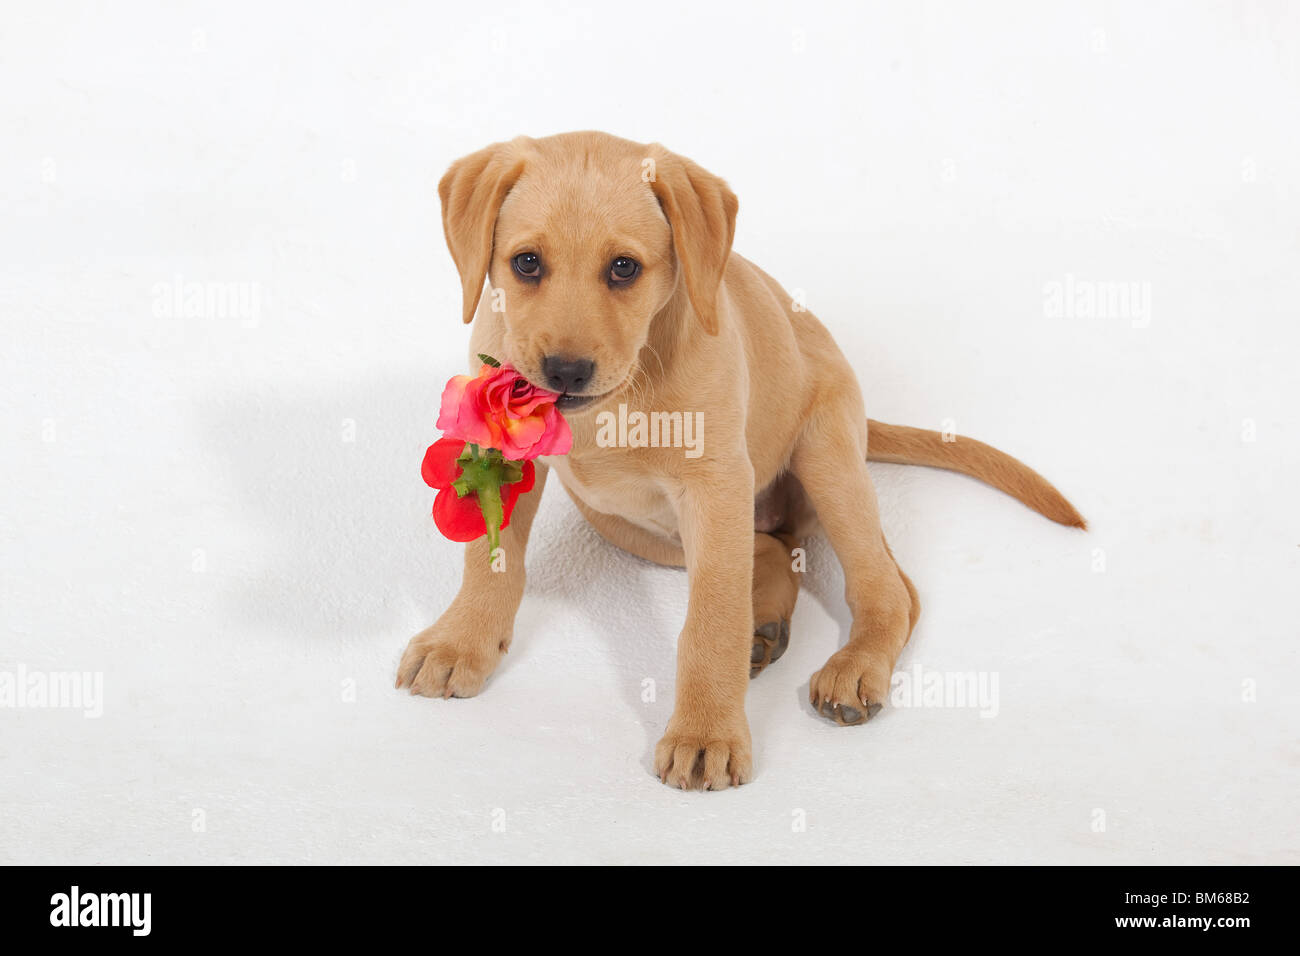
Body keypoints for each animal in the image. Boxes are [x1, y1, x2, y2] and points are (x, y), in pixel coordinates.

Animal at [397, 134, 1086, 790]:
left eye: (624, 268)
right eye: (526, 263)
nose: (566, 372)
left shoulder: (715, 484)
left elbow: (713, 617)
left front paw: (706, 733)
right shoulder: (505, 455)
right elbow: (490, 559)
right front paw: (461, 641)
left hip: (827, 461)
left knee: (890, 587)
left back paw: (853, 666)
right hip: (633, 526)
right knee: (775, 549)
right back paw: (768, 626)